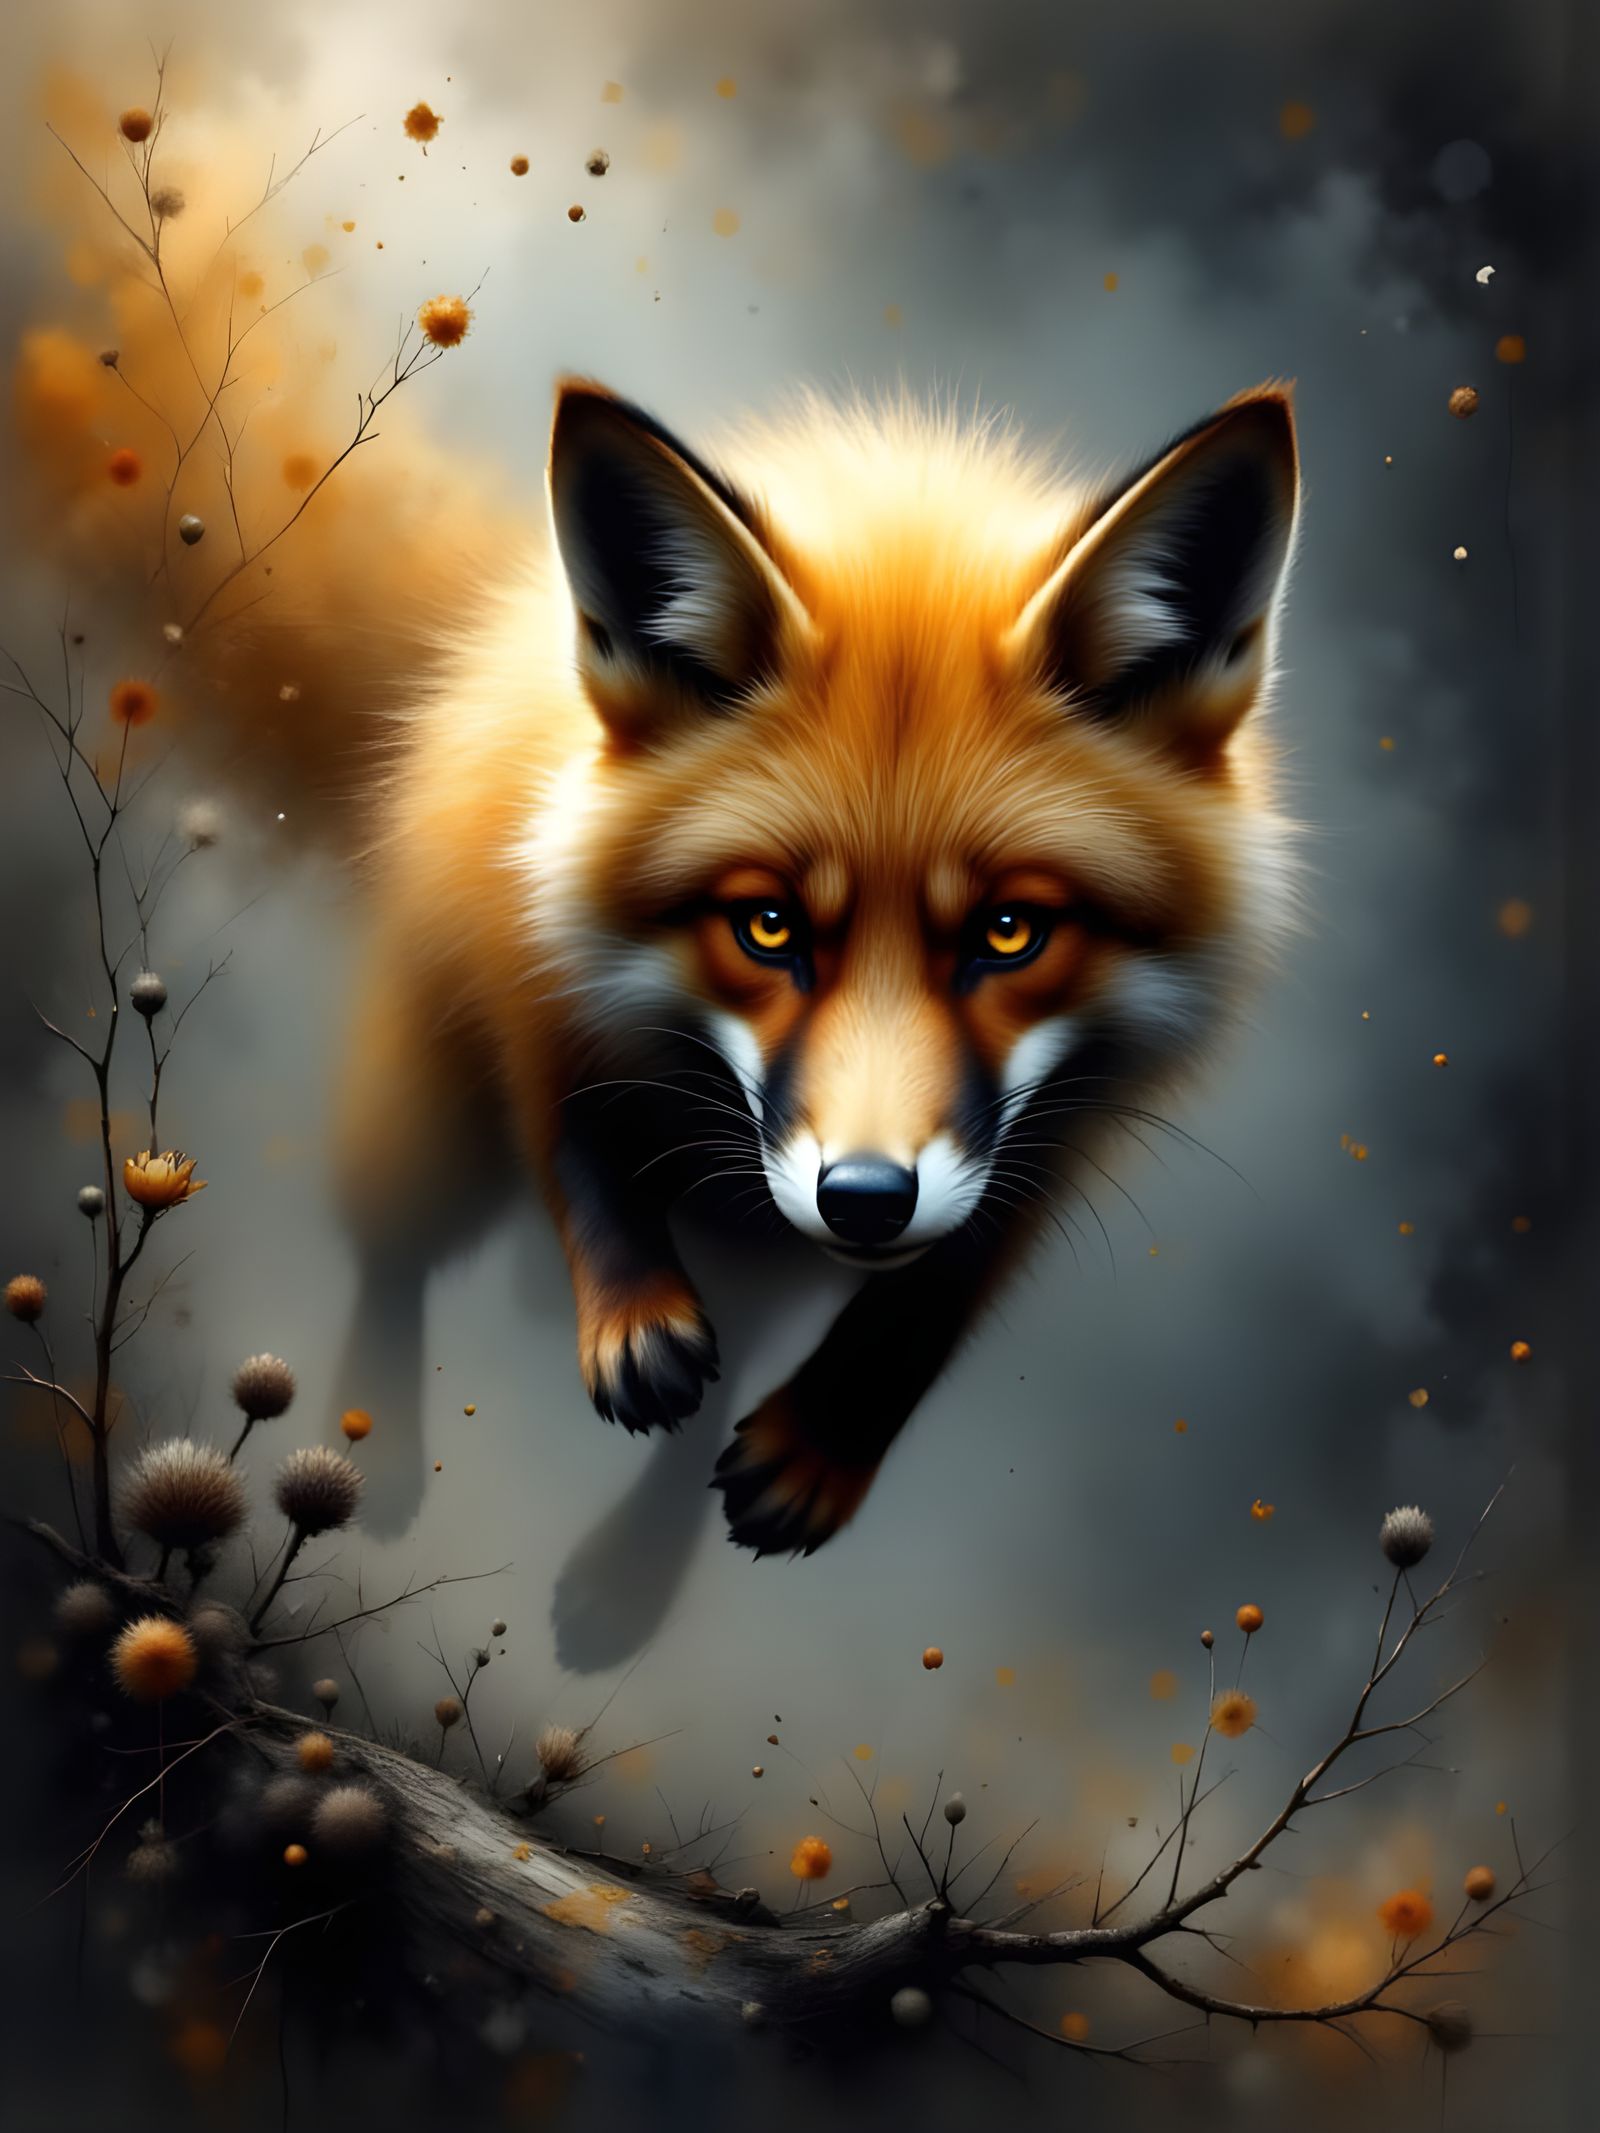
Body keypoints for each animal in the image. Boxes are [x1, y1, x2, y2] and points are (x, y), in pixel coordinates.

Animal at [333, 379, 1301, 1560]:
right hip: (434, 1125)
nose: (866, 1202)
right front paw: (634, 1309)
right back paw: (370, 1434)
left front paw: (822, 1440)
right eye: (768, 925)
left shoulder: (1075, 1122)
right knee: (390, 1248)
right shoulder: (531, 956)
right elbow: (572, 1134)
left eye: (1010, 931)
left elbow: (934, 1294)